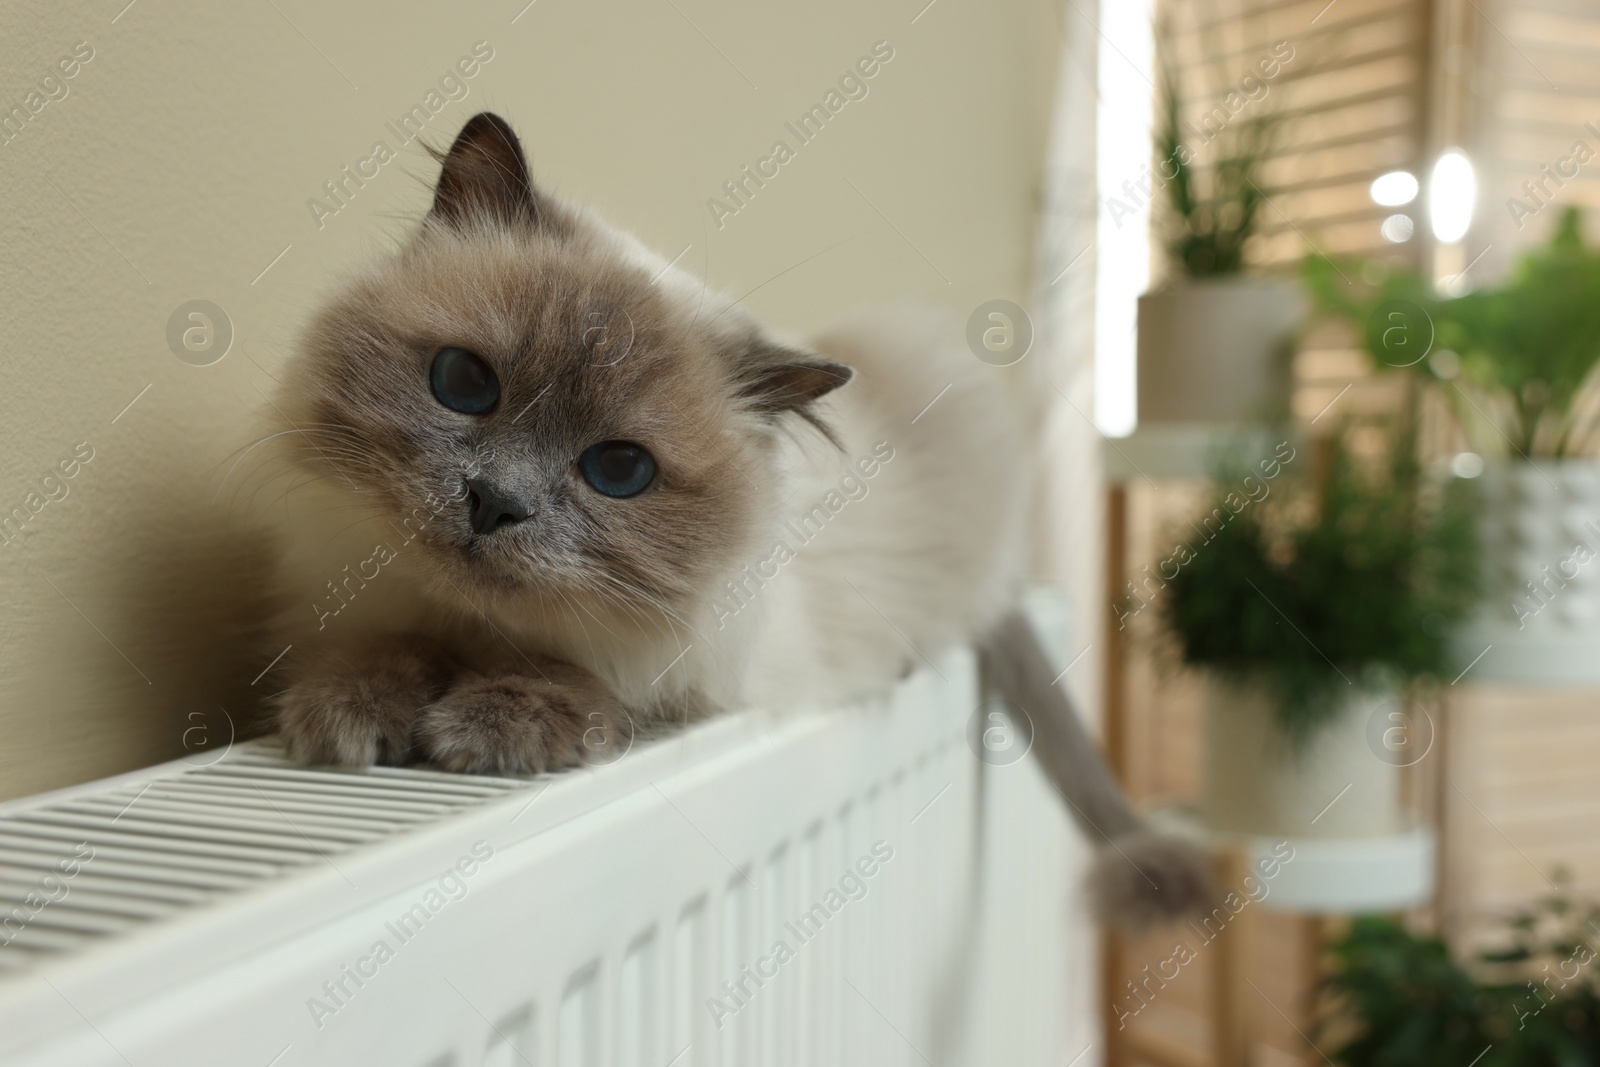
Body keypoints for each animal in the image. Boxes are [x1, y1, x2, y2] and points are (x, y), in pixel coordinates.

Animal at [262, 110, 1203, 927]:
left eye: (618, 470)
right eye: (464, 384)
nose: (495, 501)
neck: (471, 629)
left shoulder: (696, 673)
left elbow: (578, 673)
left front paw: (488, 725)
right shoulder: (384, 604)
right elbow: (383, 649)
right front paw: (352, 713)